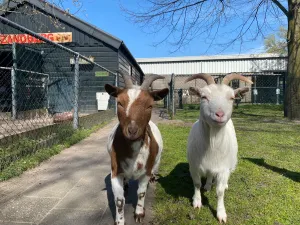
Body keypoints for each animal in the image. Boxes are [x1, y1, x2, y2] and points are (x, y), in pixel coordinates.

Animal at [105, 74, 169, 225]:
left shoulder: (145, 171)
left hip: (157, 160)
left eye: (150, 105)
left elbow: (141, 193)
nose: (132, 130)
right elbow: (119, 200)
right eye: (120, 103)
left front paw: (139, 214)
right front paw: (120, 221)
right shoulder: (115, 171)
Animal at [185, 73, 253, 223]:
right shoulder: (194, 166)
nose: (220, 114)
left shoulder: (223, 169)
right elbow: (197, 184)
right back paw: (208, 185)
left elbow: (220, 191)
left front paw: (221, 213)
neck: (212, 144)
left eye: (232, 97)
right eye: (204, 96)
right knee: (210, 174)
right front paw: (197, 202)